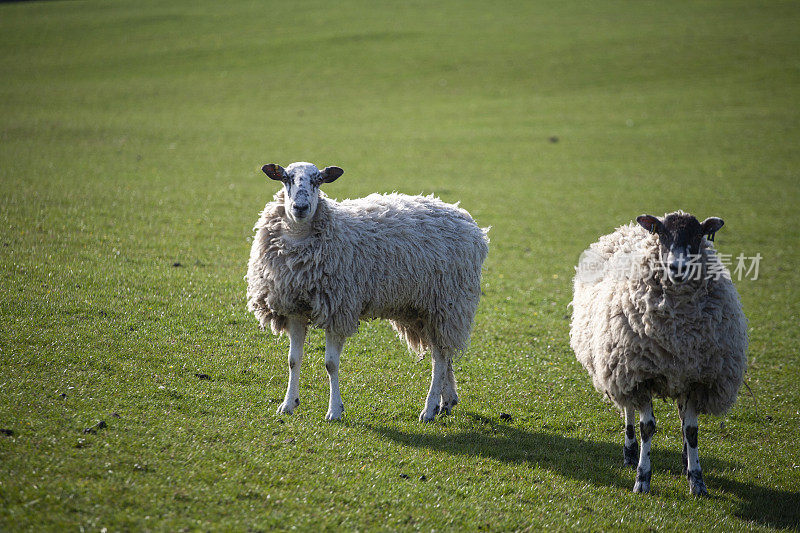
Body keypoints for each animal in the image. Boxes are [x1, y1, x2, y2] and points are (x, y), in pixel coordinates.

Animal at [247, 161, 490, 420]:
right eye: (285, 178)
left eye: (318, 180)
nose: (300, 207)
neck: (298, 239)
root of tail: (467, 220)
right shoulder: (293, 308)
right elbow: (293, 359)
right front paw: (288, 404)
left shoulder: (338, 309)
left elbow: (330, 364)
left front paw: (334, 410)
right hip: (422, 309)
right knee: (444, 352)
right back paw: (447, 401)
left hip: (447, 303)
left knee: (440, 357)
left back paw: (429, 407)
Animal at [568, 211, 752, 494]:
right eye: (662, 234)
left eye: (698, 235)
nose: (678, 268)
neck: (677, 328)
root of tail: (627, 229)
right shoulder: (639, 375)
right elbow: (647, 427)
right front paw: (642, 478)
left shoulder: (698, 378)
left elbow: (691, 430)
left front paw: (696, 479)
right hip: (621, 369)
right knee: (629, 410)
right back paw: (630, 452)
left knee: (681, 417)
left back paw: (685, 459)